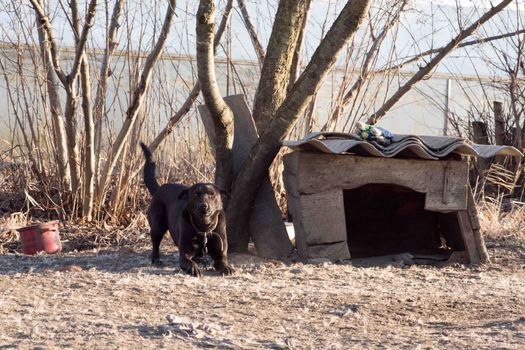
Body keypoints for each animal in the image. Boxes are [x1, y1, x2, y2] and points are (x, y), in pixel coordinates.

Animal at [139, 142, 233, 276]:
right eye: (195, 194)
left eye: (211, 194)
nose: (203, 206)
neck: (204, 228)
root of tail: (159, 189)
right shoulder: (184, 254)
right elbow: (188, 261)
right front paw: (194, 268)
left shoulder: (220, 252)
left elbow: (222, 261)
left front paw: (226, 268)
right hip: (158, 225)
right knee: (155, 243)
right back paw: (156, 259)